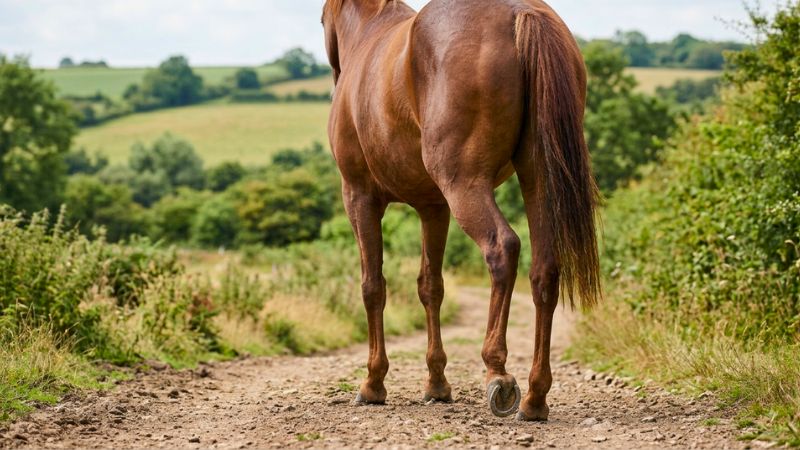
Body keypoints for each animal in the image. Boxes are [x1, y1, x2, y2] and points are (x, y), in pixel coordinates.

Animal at [321, 0, 600, 421]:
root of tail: (520, 12)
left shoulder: (359, 198)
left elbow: (373, 286)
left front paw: (373, 383)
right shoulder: (433, 206)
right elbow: (430, 286)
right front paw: (437, 383)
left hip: (464, 185)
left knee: (502, 248)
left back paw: (498, 373)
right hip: (537, 178)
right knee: (544, 270)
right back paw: (535, 397)